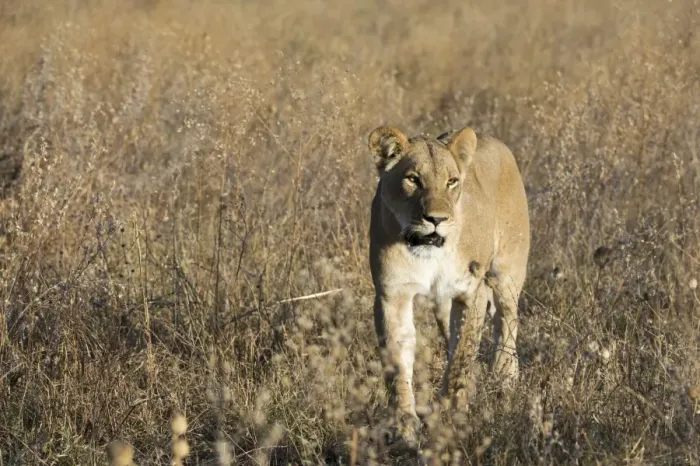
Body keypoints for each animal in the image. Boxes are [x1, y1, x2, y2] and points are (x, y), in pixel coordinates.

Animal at [368, 125, 530, 441]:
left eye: (452, 182)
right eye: (413, 179)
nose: (437, 219)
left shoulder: (470, 292)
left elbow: (462, 356)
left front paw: (453, 413)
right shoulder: (392, 295)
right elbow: (397, 359)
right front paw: (404, 424)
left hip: (506, 273)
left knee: (507, 320)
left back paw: (505, 378)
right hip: (442, 304)